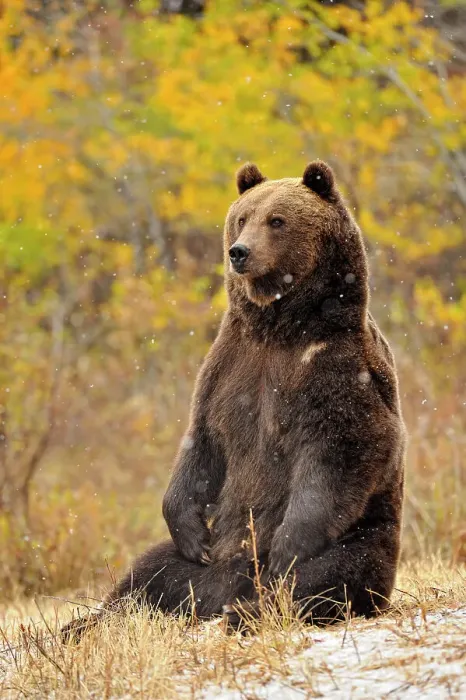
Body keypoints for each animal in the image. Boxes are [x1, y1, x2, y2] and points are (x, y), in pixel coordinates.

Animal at [62, 160, 406, 640]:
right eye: (243, 217)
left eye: (277, 220)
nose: (239, 252)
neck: (280, 326)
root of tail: (222, 588)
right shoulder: (229, 366)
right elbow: (203, 440)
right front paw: (189, 528)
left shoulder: (338, 366)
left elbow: (347, 445)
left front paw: (287, 546)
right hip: (199, 563)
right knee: (148, 574)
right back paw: (86, 623)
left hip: (366, 539)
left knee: (326, 576)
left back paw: (249, 611)